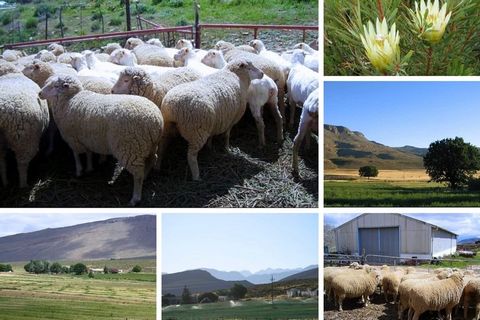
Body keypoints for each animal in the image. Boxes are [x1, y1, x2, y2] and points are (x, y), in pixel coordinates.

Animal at [38, 74, 165, 205]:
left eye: (55, 86)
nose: (39, 93)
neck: (70, 100)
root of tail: (156, 119)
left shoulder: (73, 137)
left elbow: (76, 155)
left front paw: (79, 171)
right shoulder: (87, 137)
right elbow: (88, 153)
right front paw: (89, 168)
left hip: (130, 148)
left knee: (138, 174)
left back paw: (135, 198)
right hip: (149, 145)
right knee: (152, 159)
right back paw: (146, 176)